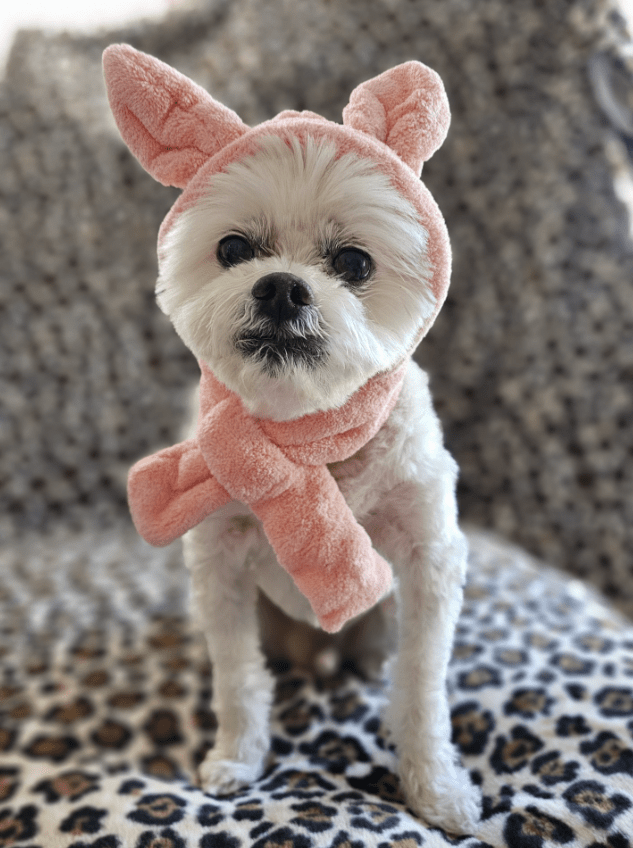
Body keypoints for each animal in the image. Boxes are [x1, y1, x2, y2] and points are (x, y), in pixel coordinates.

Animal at [102, 46, 478, 836]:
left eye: (355, 263)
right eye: (233, 248)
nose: (280, 287)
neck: (307, 442)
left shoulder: (429, 566)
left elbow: (422, 689)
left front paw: (435, 789)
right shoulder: (219, 567)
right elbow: (237, 681)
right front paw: (236, 760)